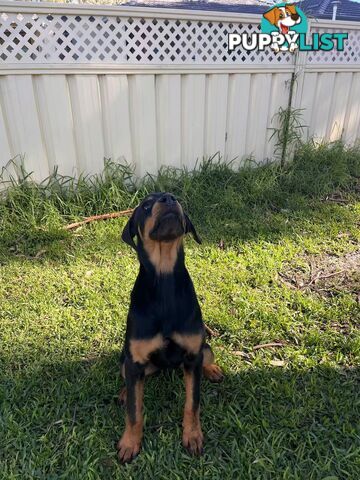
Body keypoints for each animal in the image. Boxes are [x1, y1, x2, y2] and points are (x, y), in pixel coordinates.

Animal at [118, 193, 224, 464]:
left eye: (176, 198)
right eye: (145, 206)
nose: (168, 198)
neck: (164, 279)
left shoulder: (192, 354)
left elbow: (192, 403)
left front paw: (193, 436)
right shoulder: (135, 359)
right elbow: (134, 411)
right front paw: (129, 443)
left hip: (204, 348)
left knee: (207, 358)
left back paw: (212, 370)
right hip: (126, 359)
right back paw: (124, 392)